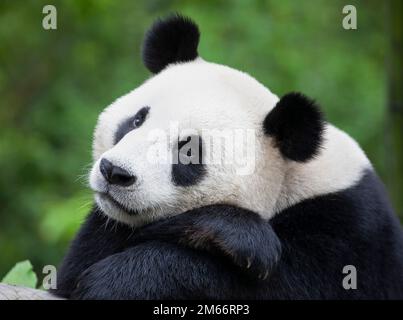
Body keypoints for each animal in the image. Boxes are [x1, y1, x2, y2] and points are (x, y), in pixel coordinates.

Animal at [52, 15, 403, 300]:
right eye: (137, 120)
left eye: (188, 150)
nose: (115, 172)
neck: (288, 180)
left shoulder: (349, 232)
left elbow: (280, 284)